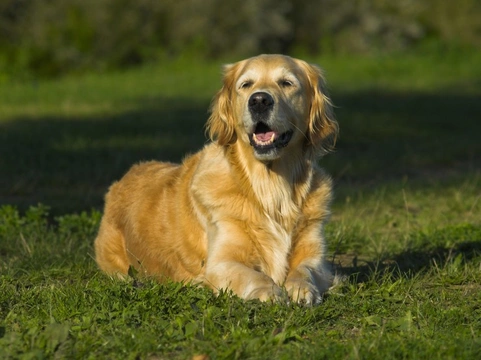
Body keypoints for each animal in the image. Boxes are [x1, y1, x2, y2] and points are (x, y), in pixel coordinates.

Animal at [94, 54, 338, 304]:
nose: (259, 101)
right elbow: (254, 276)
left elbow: (305, 270)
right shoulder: (221, 262)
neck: (270, 186)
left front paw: (302, 288)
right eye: (246, 85)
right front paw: (271, 292)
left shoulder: (317, 259)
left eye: (287, 83)